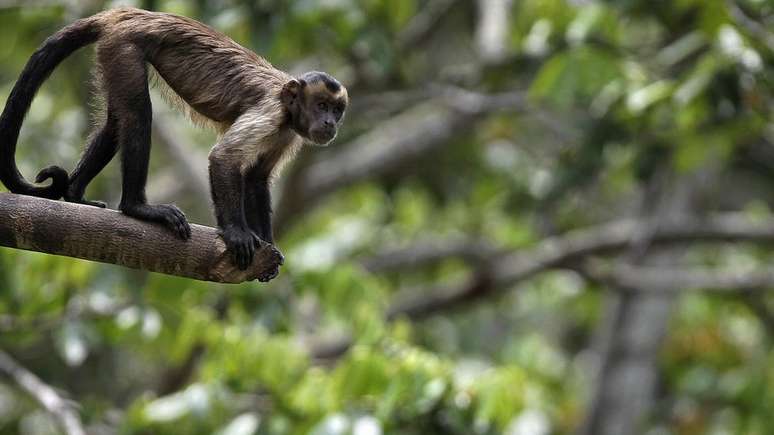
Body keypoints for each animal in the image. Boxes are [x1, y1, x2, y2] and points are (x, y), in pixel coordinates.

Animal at [0, 7, 348, 282]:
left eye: (337, 110)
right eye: (321, 106)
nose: (330, 124)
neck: (288, 108)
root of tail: (128, 13)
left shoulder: (287, 133)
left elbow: (256, 177)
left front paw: (269, 246)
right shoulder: (271, 113)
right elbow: (223, 158)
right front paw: (236, 232)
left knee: (116, 122)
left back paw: (75, 193)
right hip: (123, 46)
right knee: (138, 113)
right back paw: (136, 207)